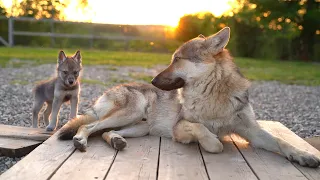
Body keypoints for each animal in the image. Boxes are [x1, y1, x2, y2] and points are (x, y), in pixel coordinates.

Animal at [58, 27, 318, 167]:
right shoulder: (181, 127)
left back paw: (116, 141)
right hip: (130, 113)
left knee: (105, 132)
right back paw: (80, 140)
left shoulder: (252, 131)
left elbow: (282, 142)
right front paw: (210, 140)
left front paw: (303, 155)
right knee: (89, 126)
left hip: (140, 127)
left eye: (177, 59)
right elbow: (211, 138)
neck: (214, 93)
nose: (152, 81)